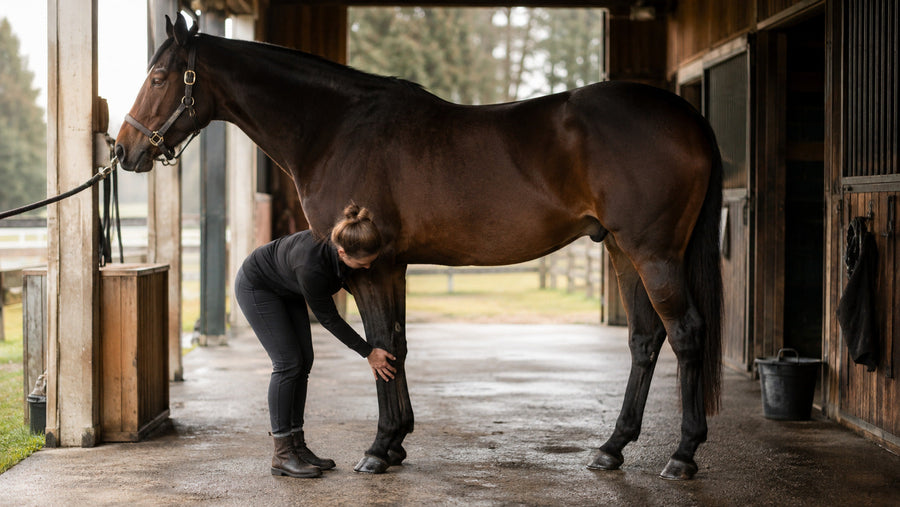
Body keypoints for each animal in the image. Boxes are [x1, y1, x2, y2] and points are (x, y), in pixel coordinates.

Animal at [115, 14, 723, 481]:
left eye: (159, 75)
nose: (122, 150)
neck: (337, 128)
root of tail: (688, 118)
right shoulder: (393, 266)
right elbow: (396, 346)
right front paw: (398, 442)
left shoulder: (371, 266)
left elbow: (382, 345)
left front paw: (378, 449)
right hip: (623, 250)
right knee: (645, 340)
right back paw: (611, 448)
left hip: (654, 252)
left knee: (686, 334)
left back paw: (682, 456)